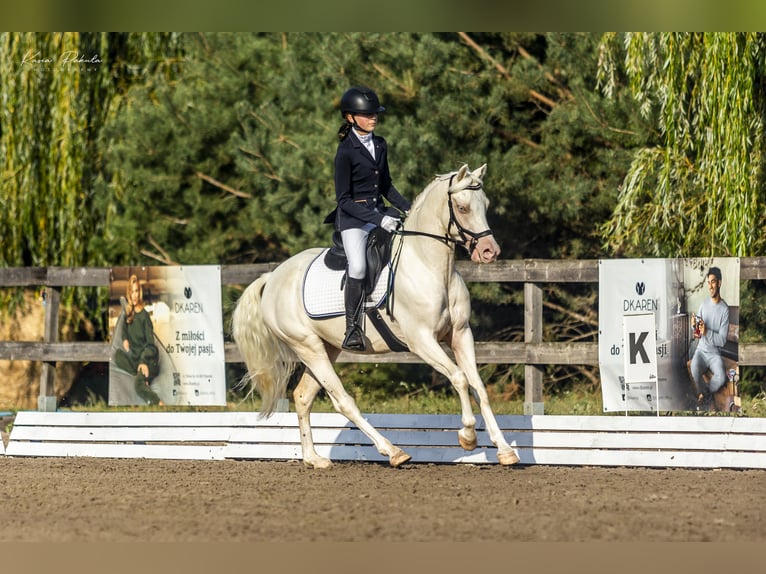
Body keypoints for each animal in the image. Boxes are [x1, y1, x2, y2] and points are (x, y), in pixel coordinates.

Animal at [234, 164, 520, 470]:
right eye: (463, 207)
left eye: (485, 205)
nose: (489, 251)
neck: (429, 266)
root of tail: (273, 277)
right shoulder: (422, 341)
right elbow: (459, 378)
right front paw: (467, 436)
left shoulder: (460, 334)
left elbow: (478, 386)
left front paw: (505, 450)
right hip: (307, 346)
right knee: (343, 401)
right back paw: (393, 451)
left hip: (327, 347)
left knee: (302, 396)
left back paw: (314, 458)